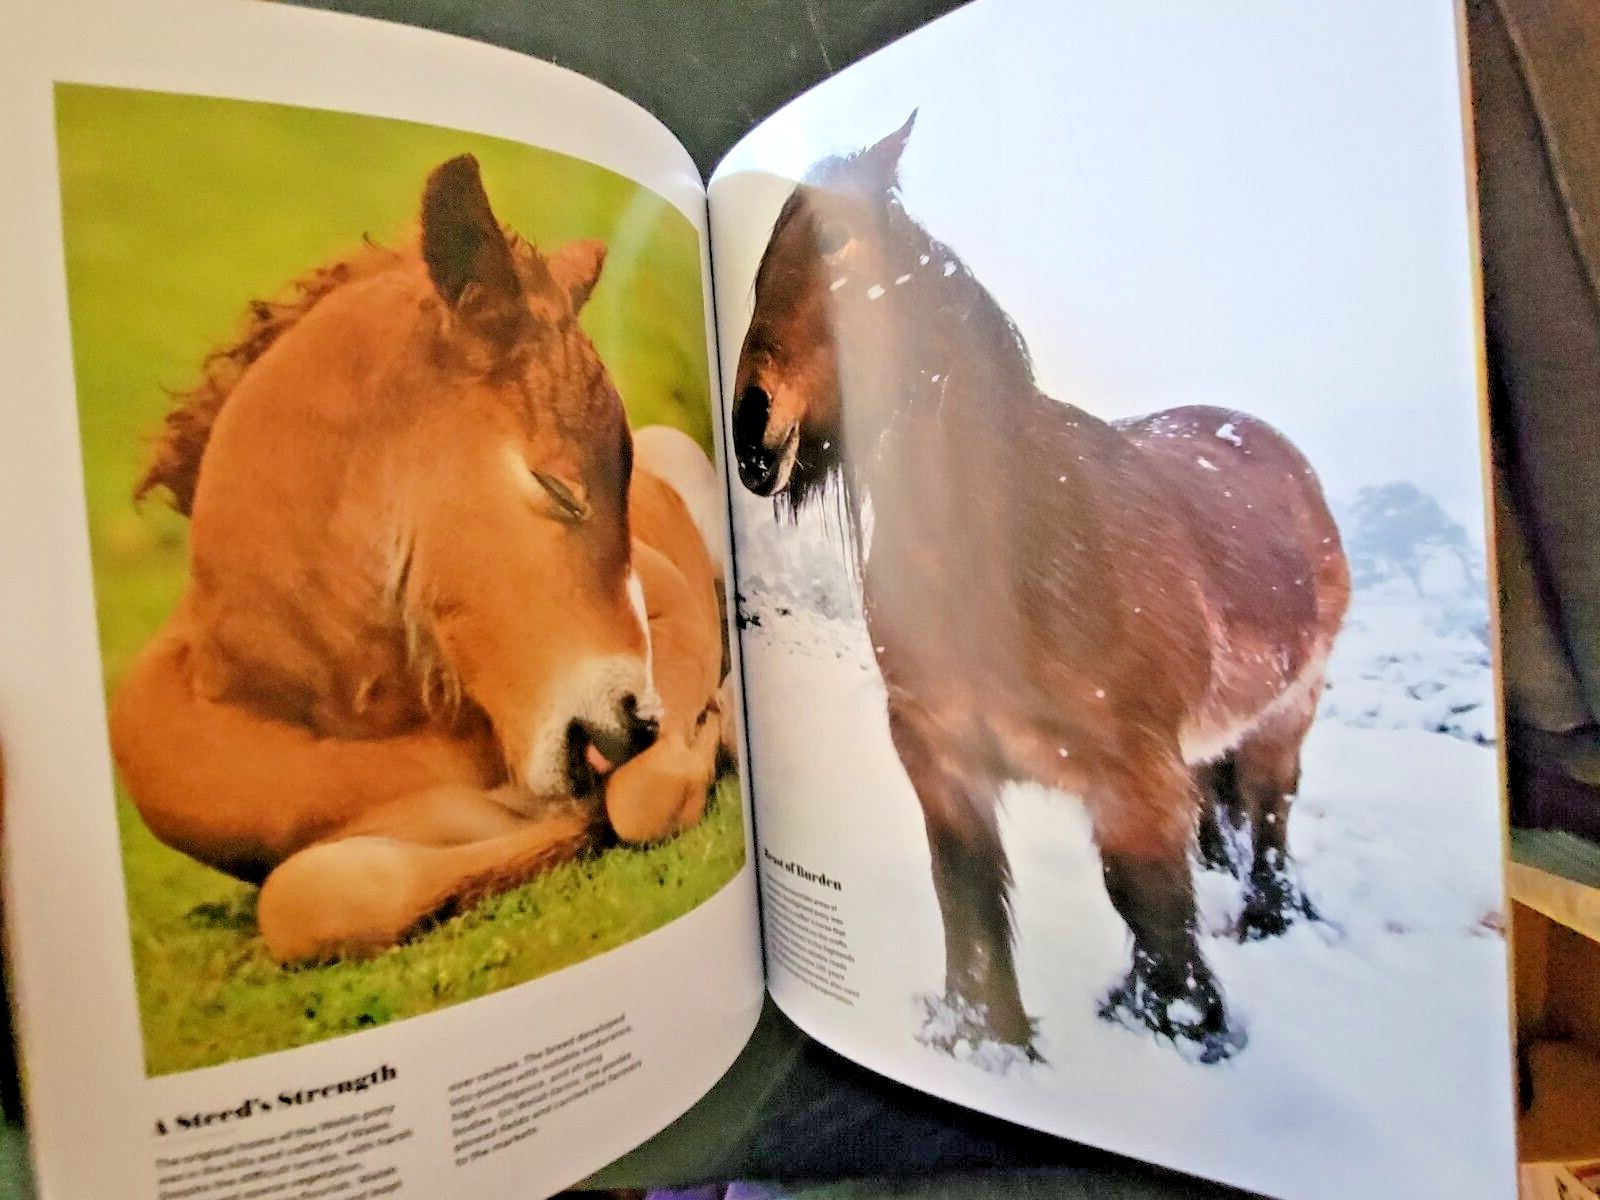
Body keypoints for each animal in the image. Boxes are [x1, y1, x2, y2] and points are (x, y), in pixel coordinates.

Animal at [730, 115, 1349, 1063]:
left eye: (833, 242)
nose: (747, 430)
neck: (1006, 563)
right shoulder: (940, 761)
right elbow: (968, 900)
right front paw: (985, 1040)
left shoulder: (1132, 782)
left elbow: (1150, 906)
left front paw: (1181, 1028)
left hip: (1289, 710)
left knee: (1272, 815)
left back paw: (1268, 919)